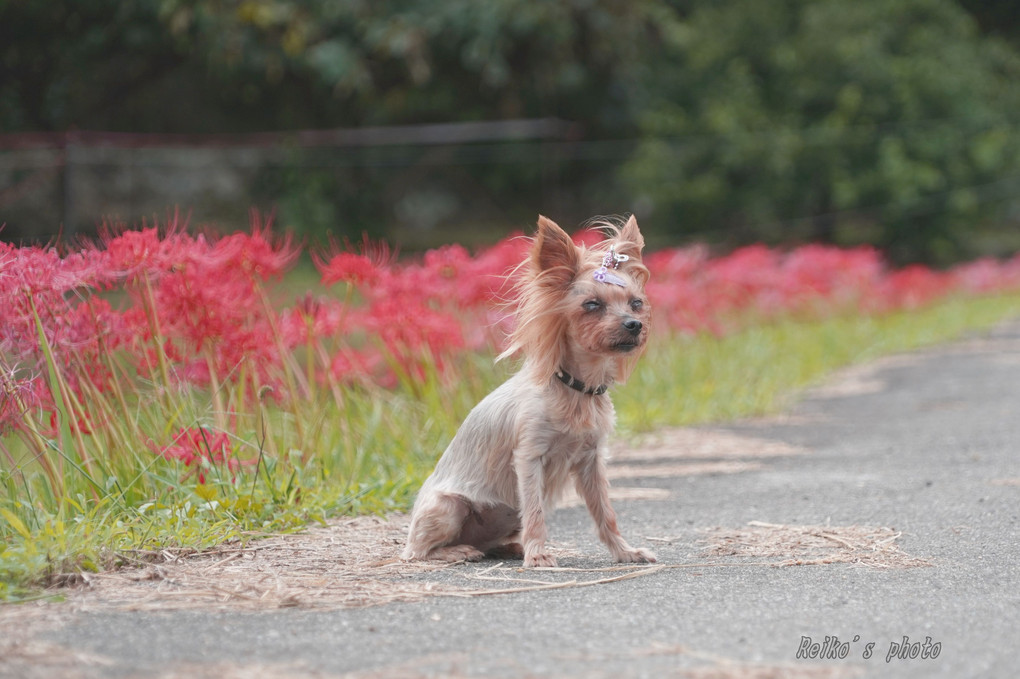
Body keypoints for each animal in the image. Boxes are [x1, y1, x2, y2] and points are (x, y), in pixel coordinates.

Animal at [401, 214, 656, 562]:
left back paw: (509, 546)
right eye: (591, 304)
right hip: (448, 507)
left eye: (636, 303)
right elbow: (535, 511)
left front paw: (624, 551)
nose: (634, 325)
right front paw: (537, 556)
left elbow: (605, 513)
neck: (576, 388)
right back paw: (458, 551)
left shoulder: (591, 462)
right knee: (418, 550)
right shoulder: (530, 458)